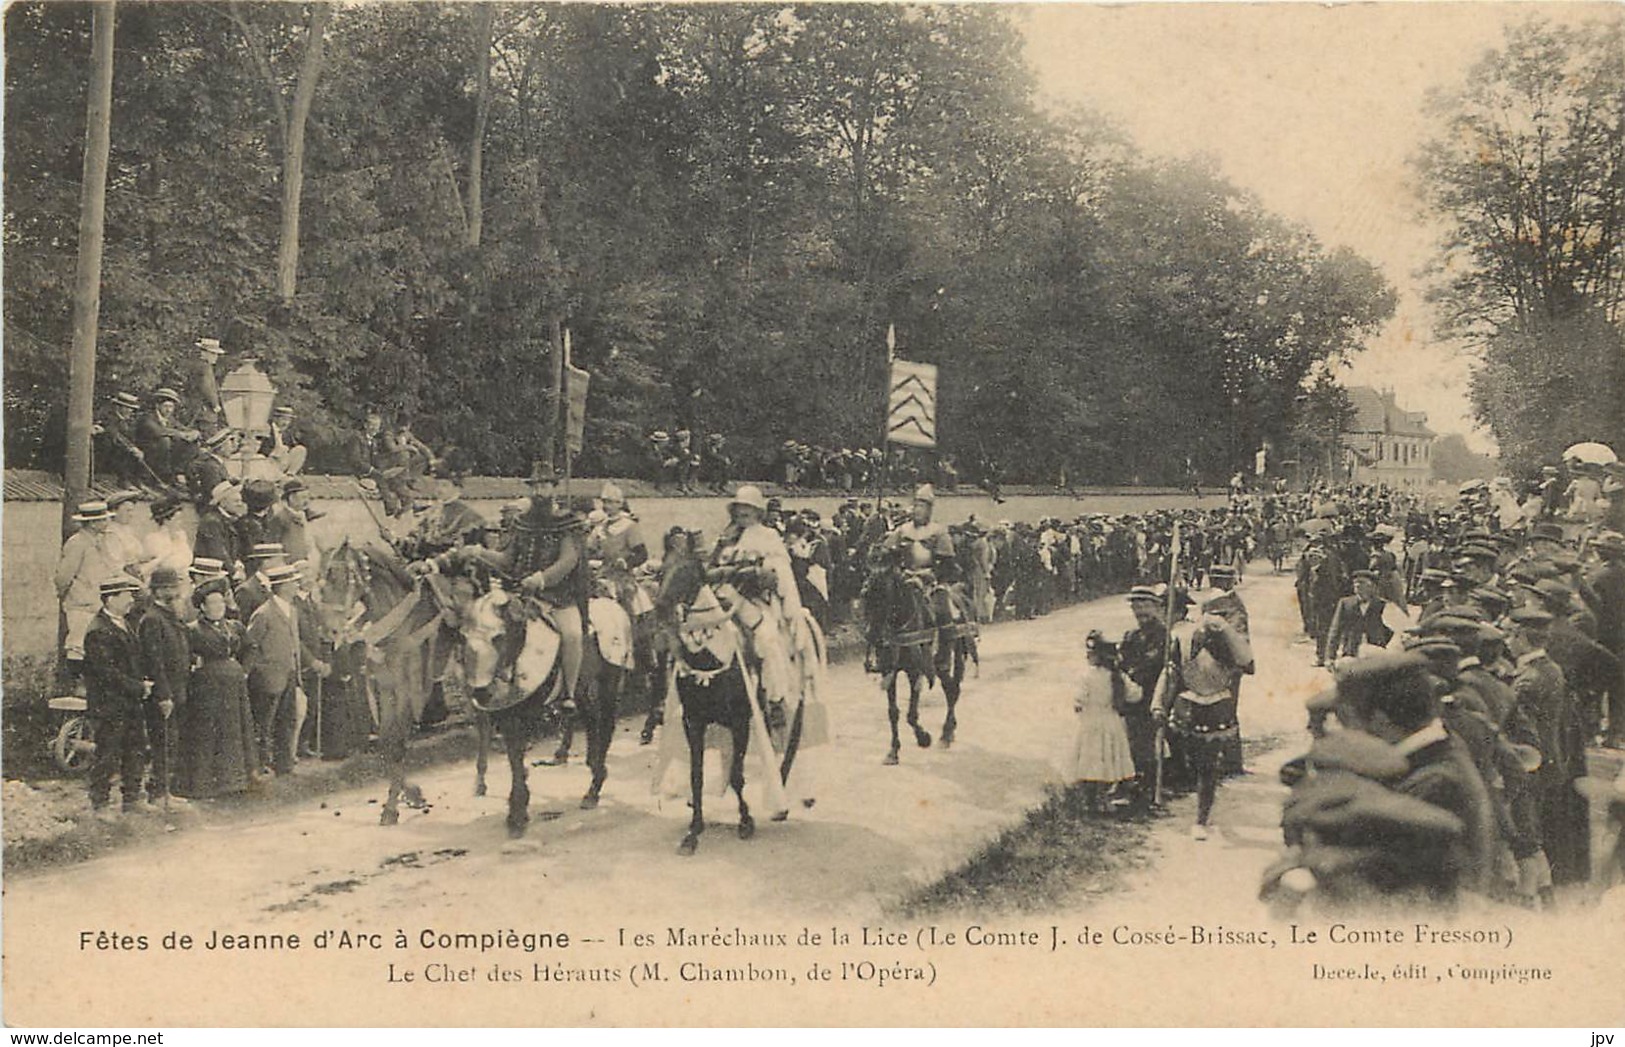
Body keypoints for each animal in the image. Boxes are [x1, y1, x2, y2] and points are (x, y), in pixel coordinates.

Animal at [864, 552, 975, 764]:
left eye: (883, 595)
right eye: (864, 595)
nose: (871, 636)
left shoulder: (915, 671)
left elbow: (911, 714)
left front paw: (924, 738)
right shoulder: (888, 671)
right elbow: (893, 712)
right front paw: (893, 751)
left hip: (950, 655)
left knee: (952, 690)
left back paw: (946, 734)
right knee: (950, 688)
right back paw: (950, 732)